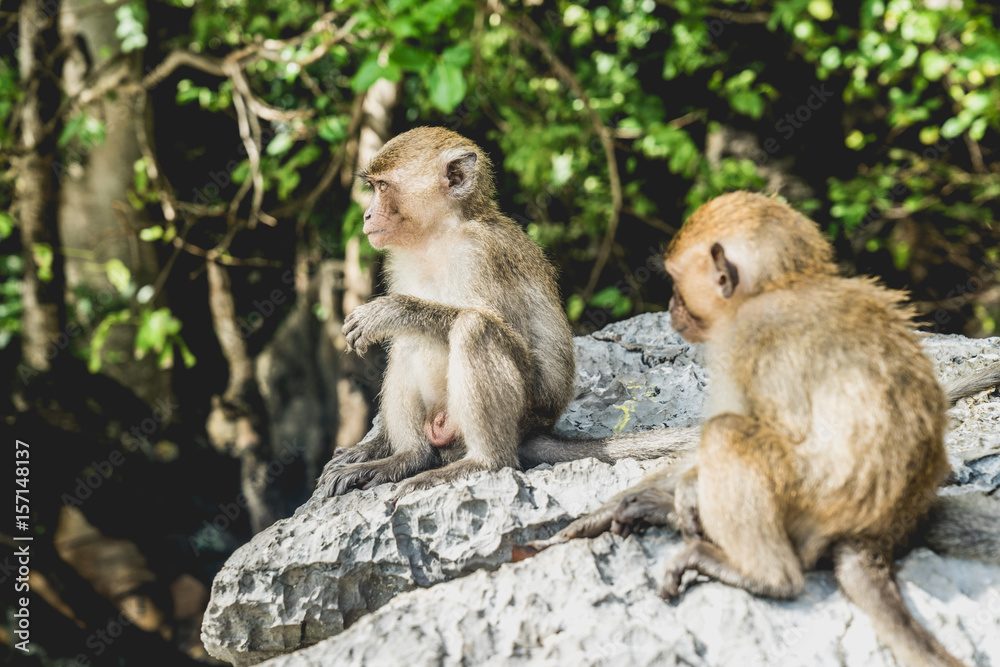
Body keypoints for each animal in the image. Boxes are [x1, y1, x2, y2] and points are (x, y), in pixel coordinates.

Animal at [520, 190, 996, 664]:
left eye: (676, 282)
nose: (671, 306)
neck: (782, 286)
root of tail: (881, 533)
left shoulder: (746, 335)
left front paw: (680, 494)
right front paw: (619, 507)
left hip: (817, 501)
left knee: (729, 435)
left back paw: (764, 574)